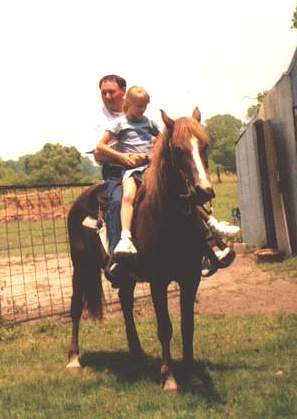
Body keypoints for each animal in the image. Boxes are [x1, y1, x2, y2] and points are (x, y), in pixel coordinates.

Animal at [65, 108, 213, 394]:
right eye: (178, 149)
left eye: (205, 145)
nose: (204, 191)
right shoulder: (158, 280)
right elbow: (165, 327)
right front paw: (169, 378)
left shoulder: (191, 278)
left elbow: (187, 326)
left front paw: (191, 375)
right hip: (81, 266)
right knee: (76, 307)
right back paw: (74, 359)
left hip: (124, 274)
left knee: (125, 302)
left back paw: (136, 352)